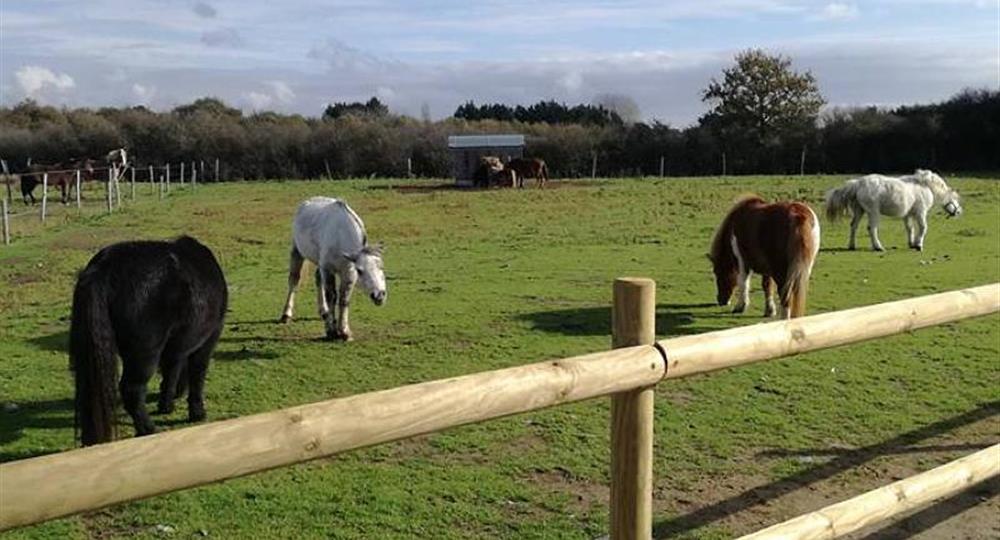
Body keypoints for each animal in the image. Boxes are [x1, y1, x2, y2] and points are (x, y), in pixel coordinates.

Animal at [71, 234, 228, 446]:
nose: (179, 393)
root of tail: (103, 268)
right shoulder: (208, 341)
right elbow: (197, 374)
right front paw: (197, 413)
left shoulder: (174, 347)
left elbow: (171, 371)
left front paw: (166, 405)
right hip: (144, 355)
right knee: (132, 390)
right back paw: (148, 430)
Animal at [282, 198, 390, 342]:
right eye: (360, 270)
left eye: (381, 266)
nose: (379, 295)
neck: (340, 236)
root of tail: (307, 202)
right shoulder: (328, 270)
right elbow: (331, 297)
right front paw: (331, 331)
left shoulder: (348, 274)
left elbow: (344, 299)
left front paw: (344, 332)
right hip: (297, 252)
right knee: (294, 281)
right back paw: (286, 314)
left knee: (318, 280)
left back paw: (324, 311)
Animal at [820, 170, 960, 252]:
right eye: (954, 198)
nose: (958, 212)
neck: (925, 186)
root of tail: (858, 183)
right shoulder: (920, 213)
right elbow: (923, 228)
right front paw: (918, 245)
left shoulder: (908, 215)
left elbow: (910, 229)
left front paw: (912, 243)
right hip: (873, 213)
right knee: (871, 228)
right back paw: (878, 247)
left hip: (859, 211)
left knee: (853, 226)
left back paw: (852, 246)